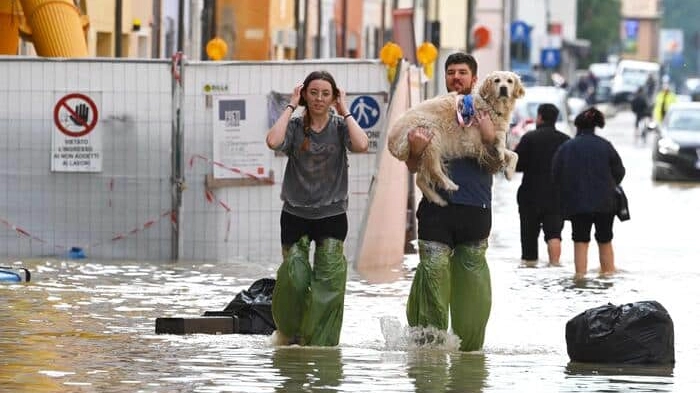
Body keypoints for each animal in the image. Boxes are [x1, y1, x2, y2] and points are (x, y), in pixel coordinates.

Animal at [388, 70, 524, 205]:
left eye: (509, 81)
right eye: (497, 80)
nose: (503, 88)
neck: (491, 106)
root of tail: (390, 141)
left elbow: (514, 154)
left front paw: (509, 171)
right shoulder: (472, 142)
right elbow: (500, 143)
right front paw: (500, 151)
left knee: (420, 178)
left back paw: (437, 199)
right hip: (432, 132)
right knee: (433, 169)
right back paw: (449, 185)